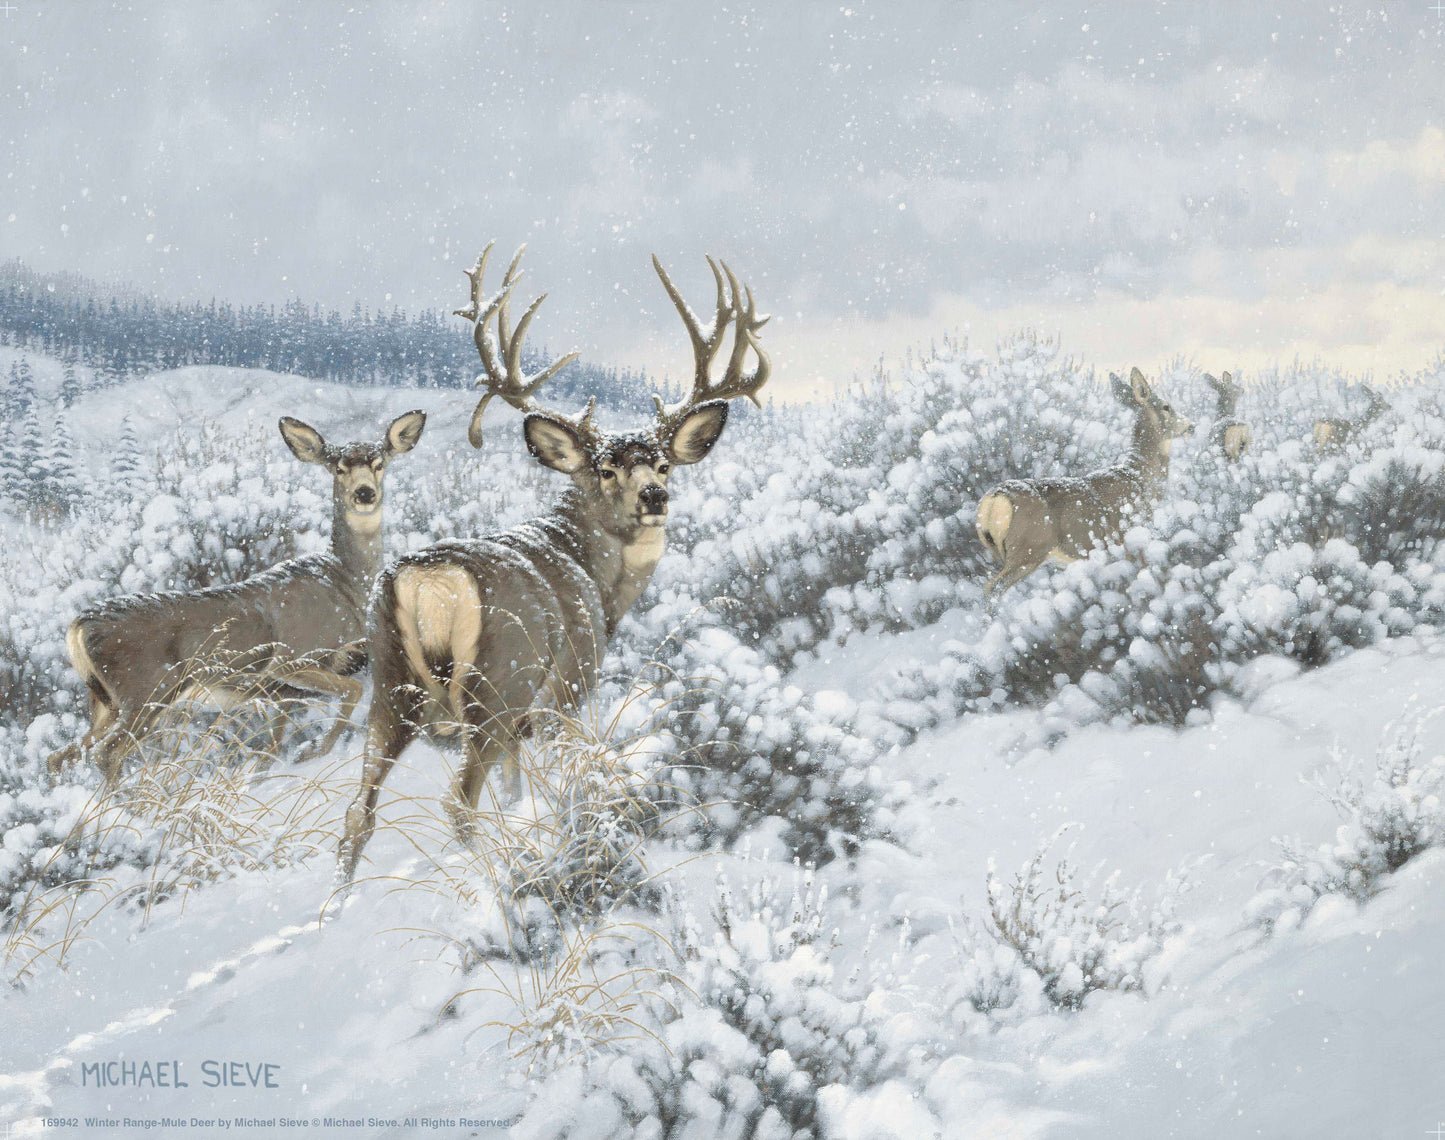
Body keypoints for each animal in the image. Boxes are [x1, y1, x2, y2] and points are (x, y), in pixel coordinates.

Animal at [47, 410, 427, 784]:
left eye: (379, 462)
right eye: (338, 467)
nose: (364, 493)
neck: (343, 582)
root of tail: (79, 627)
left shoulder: (280, 692)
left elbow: (273, 745)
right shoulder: (292, 658)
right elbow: (352, 691)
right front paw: (312, 752)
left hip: (106, 703)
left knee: (61, 756)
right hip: (147, 690)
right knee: (106, 754)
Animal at [331, 242, 769, 889]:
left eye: (663, 463)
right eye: (606, 468)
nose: (654, 497)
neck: (595, 577)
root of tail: (428, 577)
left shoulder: (520, 725)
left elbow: (516, 792)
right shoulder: (567, 691)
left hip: (388, 683)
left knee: (358, 812)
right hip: (499, 682)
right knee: (458, 800)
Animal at [975, 367, 1194, 600]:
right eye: (1166, 407)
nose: (1192, 426)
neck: (1140, 476)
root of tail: (993, 499)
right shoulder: (1132, 537)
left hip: (1001, 551)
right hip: (1029, 548)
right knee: (993, 587)